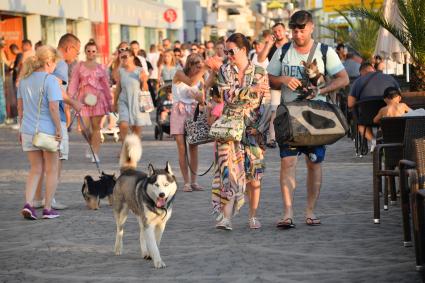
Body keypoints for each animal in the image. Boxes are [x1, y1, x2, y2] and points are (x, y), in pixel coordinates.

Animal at [112, 134, 176, 270]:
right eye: (156, 185)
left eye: (166, 184)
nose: (162, 194)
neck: (157, 207)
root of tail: (128, 170)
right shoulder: (149, 225)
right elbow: (153, 245)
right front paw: (158, 262)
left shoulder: (161, 225)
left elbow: (155, 242)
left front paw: (152, 255)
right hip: (122, 214)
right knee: (120, 231)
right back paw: (118, 248)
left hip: (140, 216)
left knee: (141, 234)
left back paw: (145, 253)